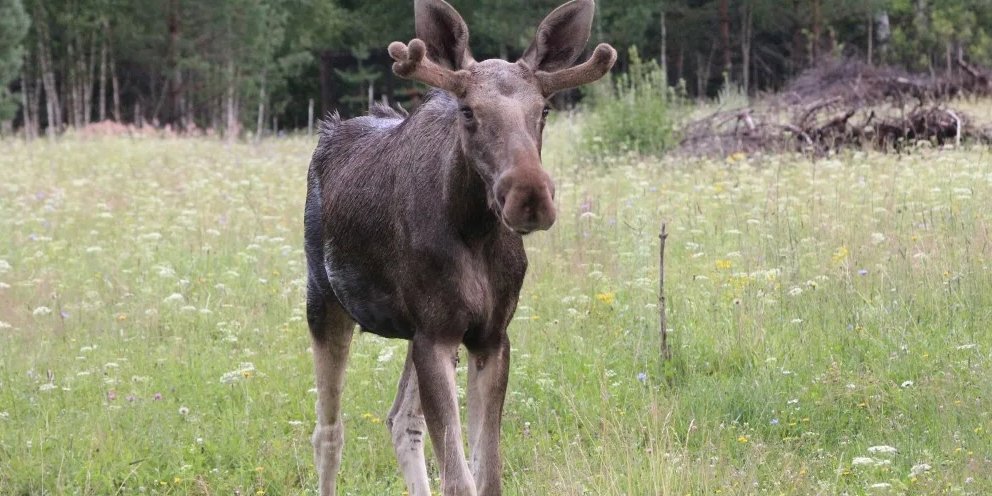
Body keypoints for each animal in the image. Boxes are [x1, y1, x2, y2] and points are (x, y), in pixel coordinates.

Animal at [304, 1, 612, 494]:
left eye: (544, 109)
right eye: (467, 110)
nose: (530, 195)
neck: (476, 232)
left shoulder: (488, 336)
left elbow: (487, 475)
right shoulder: (436, 335)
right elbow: (459, 479)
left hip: (413, 330)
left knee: (400, 421)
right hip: (324, 300)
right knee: (329, 432)